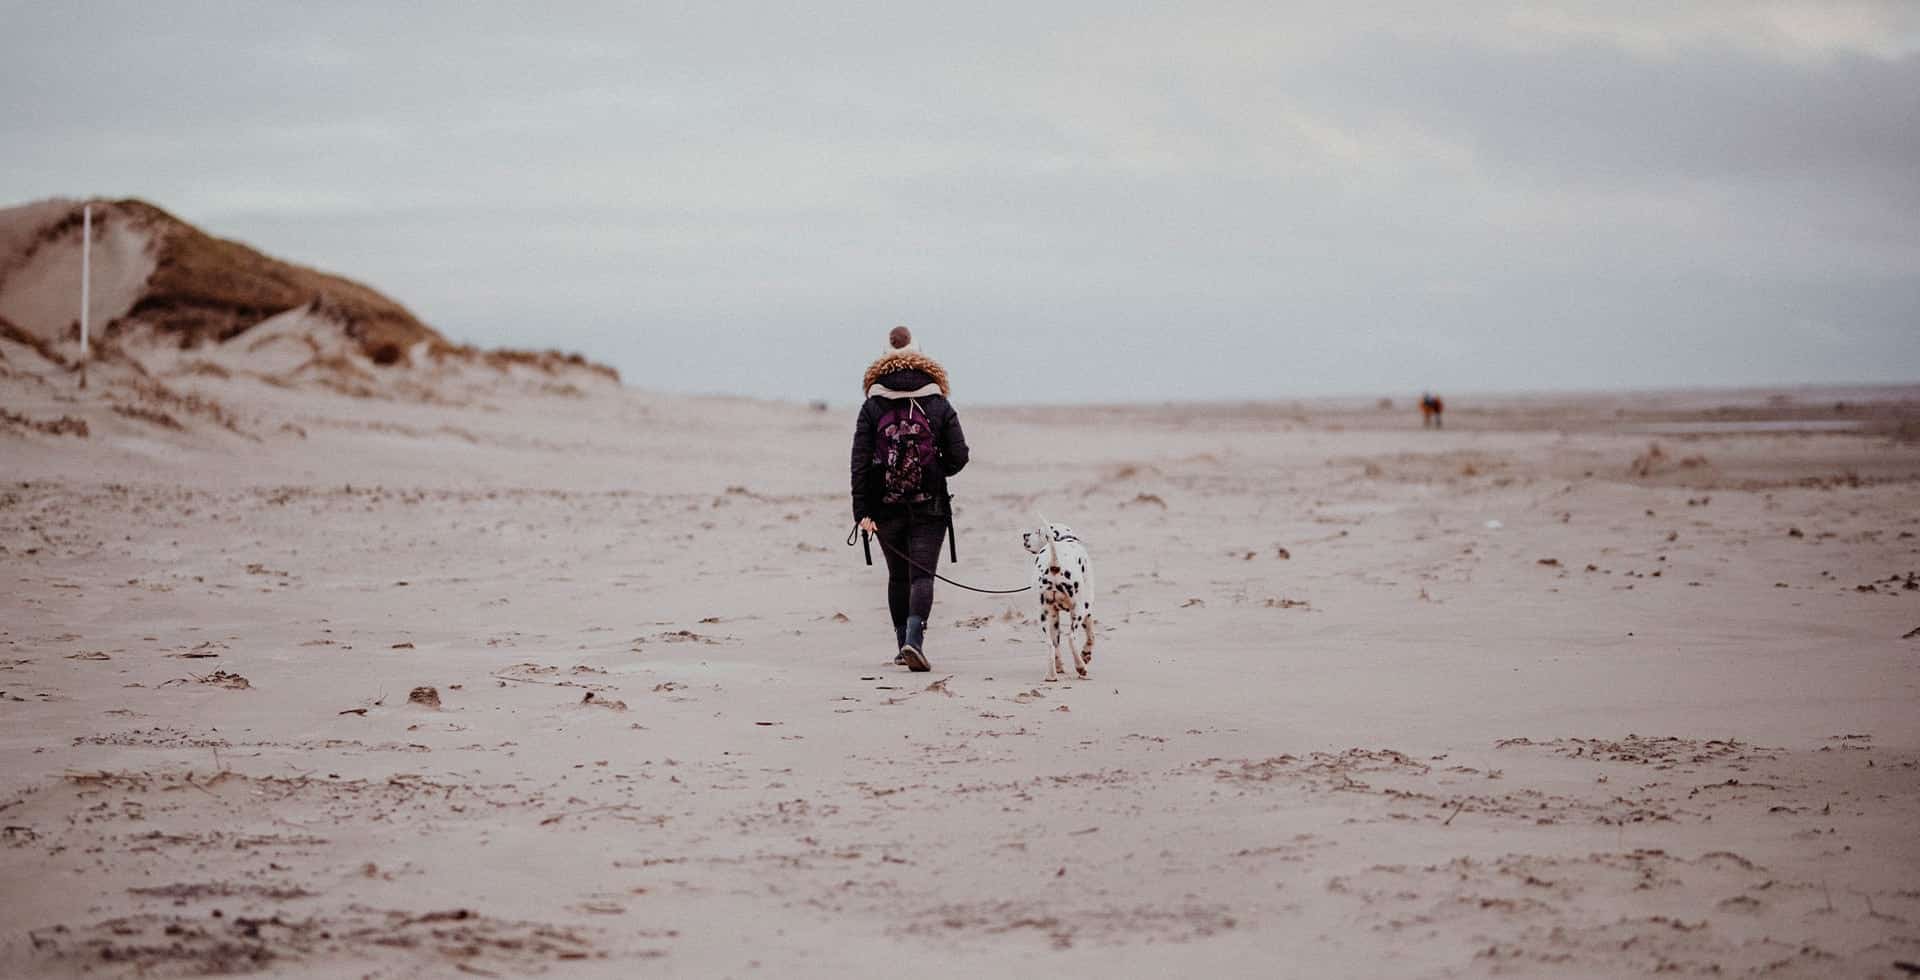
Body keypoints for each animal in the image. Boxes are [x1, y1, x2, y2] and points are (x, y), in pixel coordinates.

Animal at [1021, 518, 1098, 680]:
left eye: (1038, 531)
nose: (1024, 535)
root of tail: (1054, 565)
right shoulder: (1087, 610)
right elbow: (1091, 637)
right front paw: (1086, 654)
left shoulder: (1055, 617)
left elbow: (1056, 646)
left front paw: (1059, 667)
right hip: (1078, 611)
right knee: (1071, 638)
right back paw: (1080, 667)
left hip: (1045, 617)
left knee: (1050, 644)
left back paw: (1051, 675)